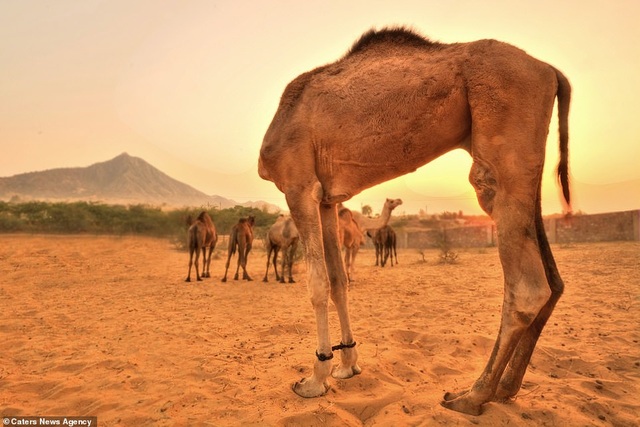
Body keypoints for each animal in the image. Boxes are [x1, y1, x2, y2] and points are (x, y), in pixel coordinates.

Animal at [258, 25, 572, 416]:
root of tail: (550, 72)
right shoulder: (329, 199)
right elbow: (338, 280)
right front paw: (348, 365)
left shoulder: (299, 187)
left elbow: (316, 284)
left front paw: (315, 379)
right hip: (530, 164)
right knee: (553, 281)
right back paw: (505, 389)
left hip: (501, 142)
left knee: (528, 286)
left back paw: (472, 395)